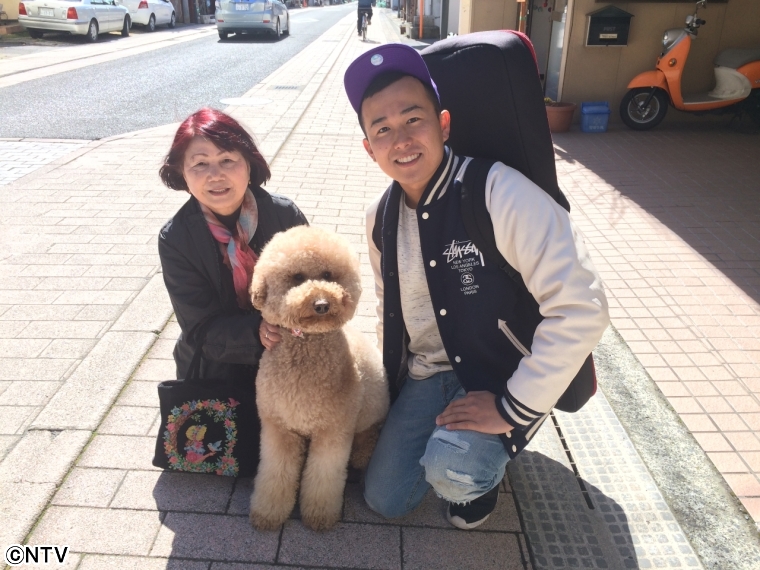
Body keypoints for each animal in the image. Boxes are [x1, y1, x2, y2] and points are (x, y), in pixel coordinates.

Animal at [248, 226, 389, 531]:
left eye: (328, 275)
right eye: (297, 277)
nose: (322, 304)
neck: (308, 346)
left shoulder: (333, 430)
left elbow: (324, 476)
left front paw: (320, 515)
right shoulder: (278, 427)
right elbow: (275, 472)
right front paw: (268, 513)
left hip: (371, 413)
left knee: (369, 435)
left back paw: (362, 455)